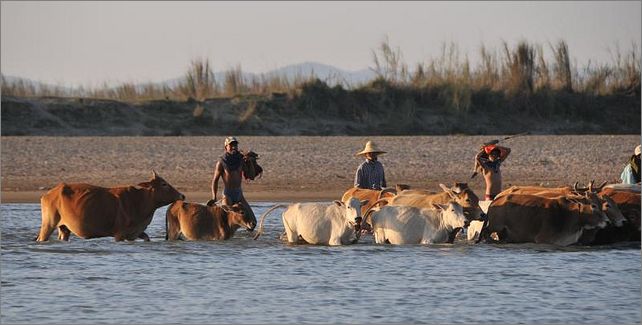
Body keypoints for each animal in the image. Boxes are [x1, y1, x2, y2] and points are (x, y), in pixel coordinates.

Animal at [36, 170, 184, 240]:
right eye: (163, 184)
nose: (182, 195)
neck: (139, 202)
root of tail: (48, 194)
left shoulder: (134, 233)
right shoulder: (119, 233)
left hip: (64, 228)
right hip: (48, 223)